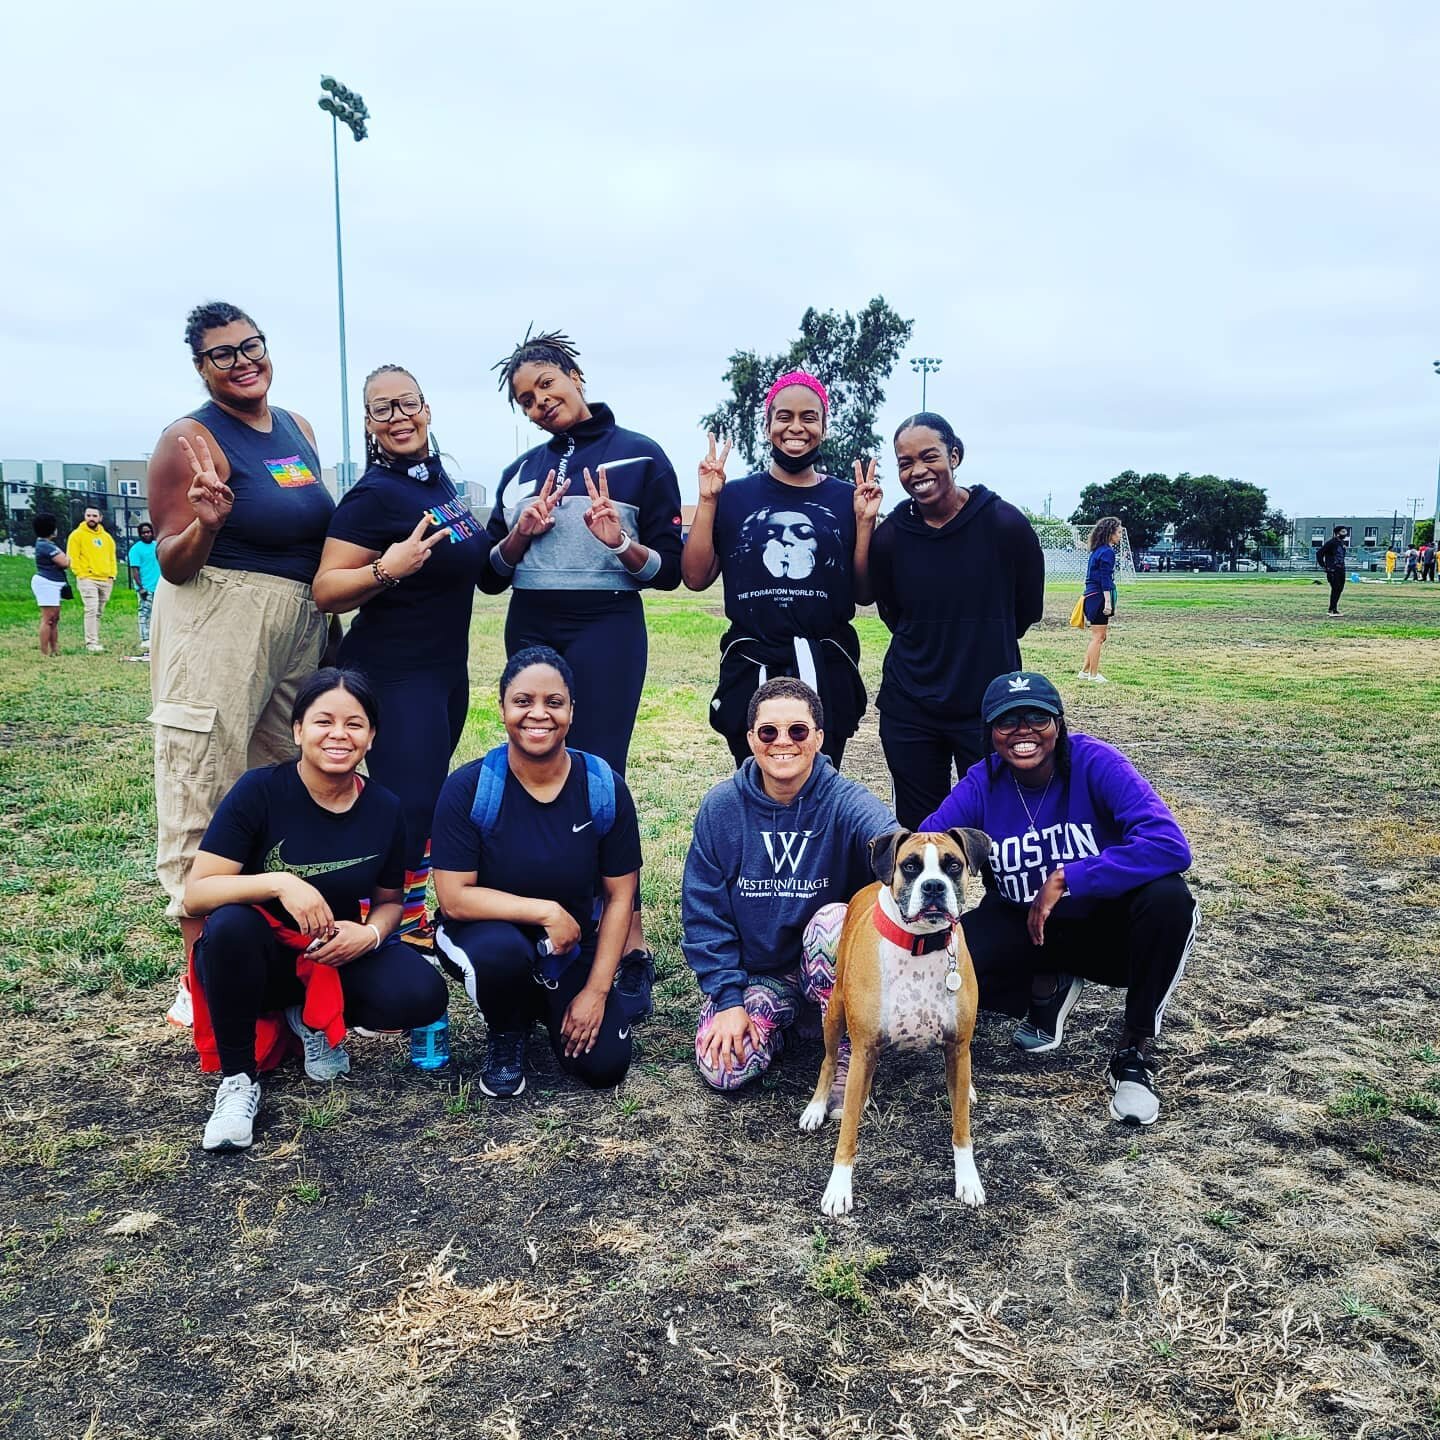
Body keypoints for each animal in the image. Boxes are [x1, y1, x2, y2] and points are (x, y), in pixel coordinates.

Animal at [800, 835, 990, 1215]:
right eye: (911, 866)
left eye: (953, 865)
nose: (933, 886)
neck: (921, 944)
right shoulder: (862, 1049)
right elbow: (848, 1133)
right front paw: (838, 1188)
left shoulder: (957, 1046)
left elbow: (961, 1128)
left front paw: (968, 1180)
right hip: (835, 1014)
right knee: (829, 1060)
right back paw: (818, 1106)